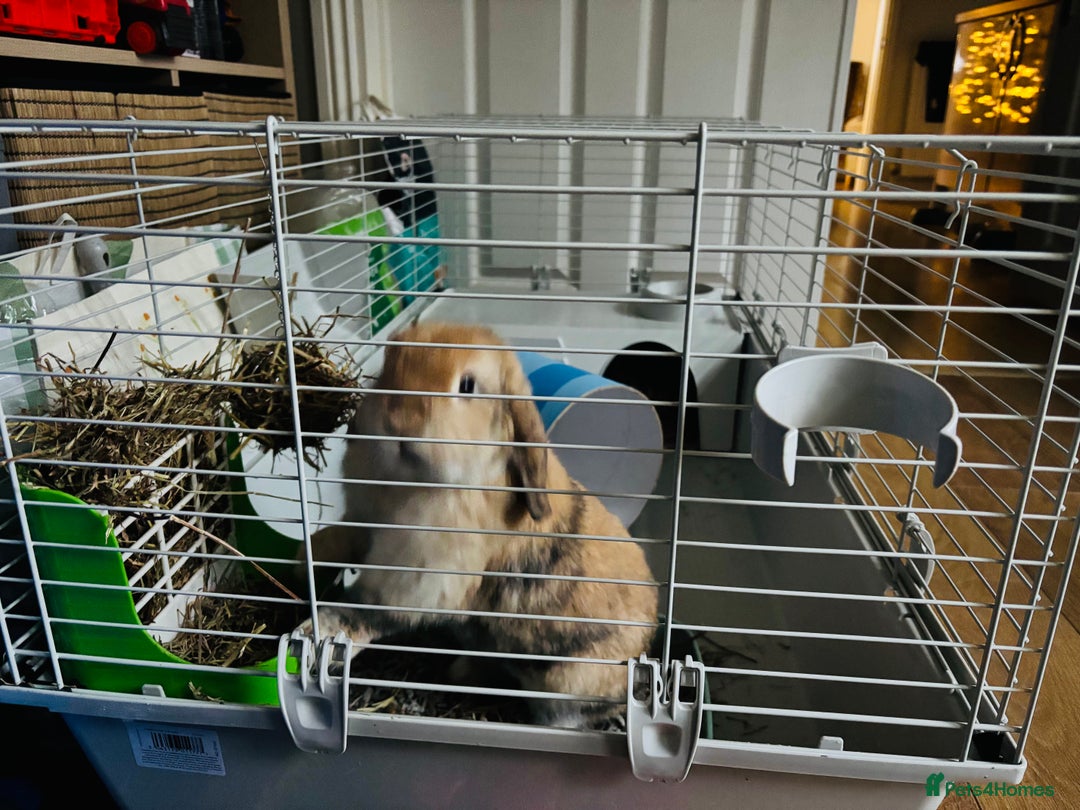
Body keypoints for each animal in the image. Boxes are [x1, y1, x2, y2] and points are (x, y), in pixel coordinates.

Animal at [301, 321, 659, 729]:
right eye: (389, 364)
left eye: (467, 385)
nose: (399, 423)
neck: (408, 482)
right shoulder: (363, 524)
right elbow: (340, 539)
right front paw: (305, 557)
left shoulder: (419, 579)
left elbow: (369, 612)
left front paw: (322, 629)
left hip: (568, 685)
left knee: (562, 717)